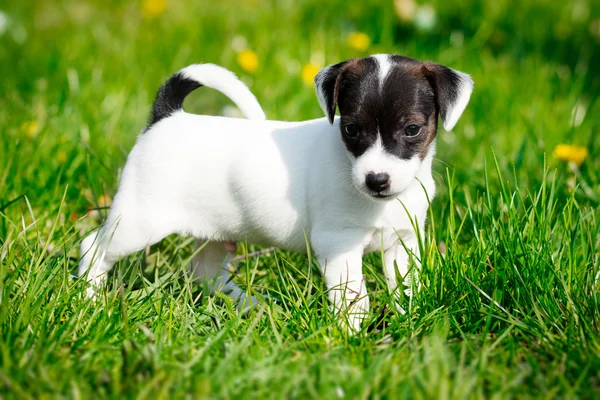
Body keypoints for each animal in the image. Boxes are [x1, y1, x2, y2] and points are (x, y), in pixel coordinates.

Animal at [79, 56, 474, 332]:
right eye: (350, 128)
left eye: (412, 129)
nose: (376, 180)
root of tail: (167, 118)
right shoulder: (339, 245)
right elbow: (352, 296)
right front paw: (354, 335)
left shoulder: (404, 242)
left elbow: (406, 285)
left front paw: (408, 318)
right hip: (138, 223)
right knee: (93, 247)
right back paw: (89, 298)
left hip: (214, 234)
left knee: (204, 273)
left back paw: (253, 305)